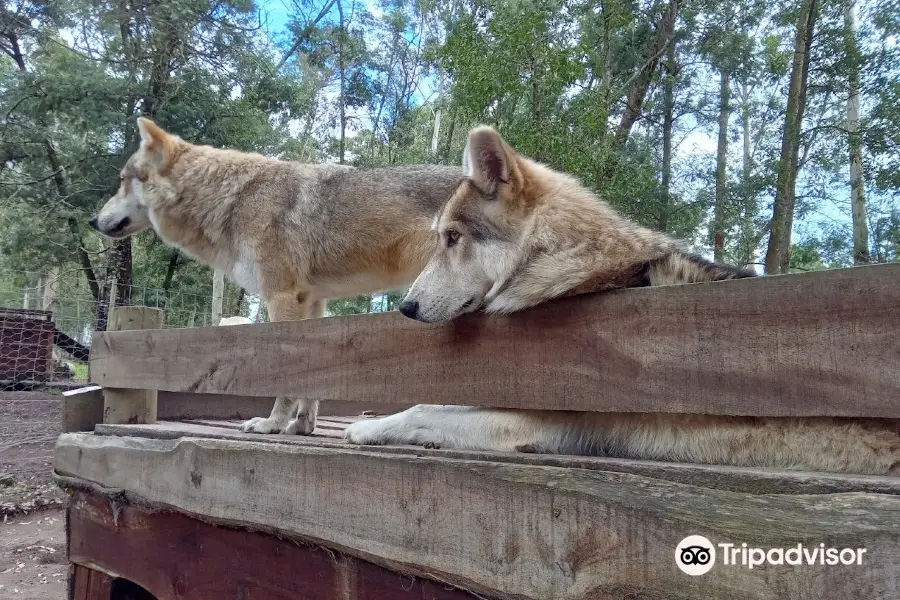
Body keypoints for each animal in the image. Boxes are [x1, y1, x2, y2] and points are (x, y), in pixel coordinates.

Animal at [89, 117, 464, 436]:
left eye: (122, 180)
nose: (92, 221)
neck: (231, 199)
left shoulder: (281, 297)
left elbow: (285, 375)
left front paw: (271, 424)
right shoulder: (312, 301)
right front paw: (301, 426)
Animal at [340, 126, 900, 474]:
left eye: (452, 239)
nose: (405, 308)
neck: (567, 263)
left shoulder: (529, 421)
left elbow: (422, 409)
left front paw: (368, 428)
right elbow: (429, 401)